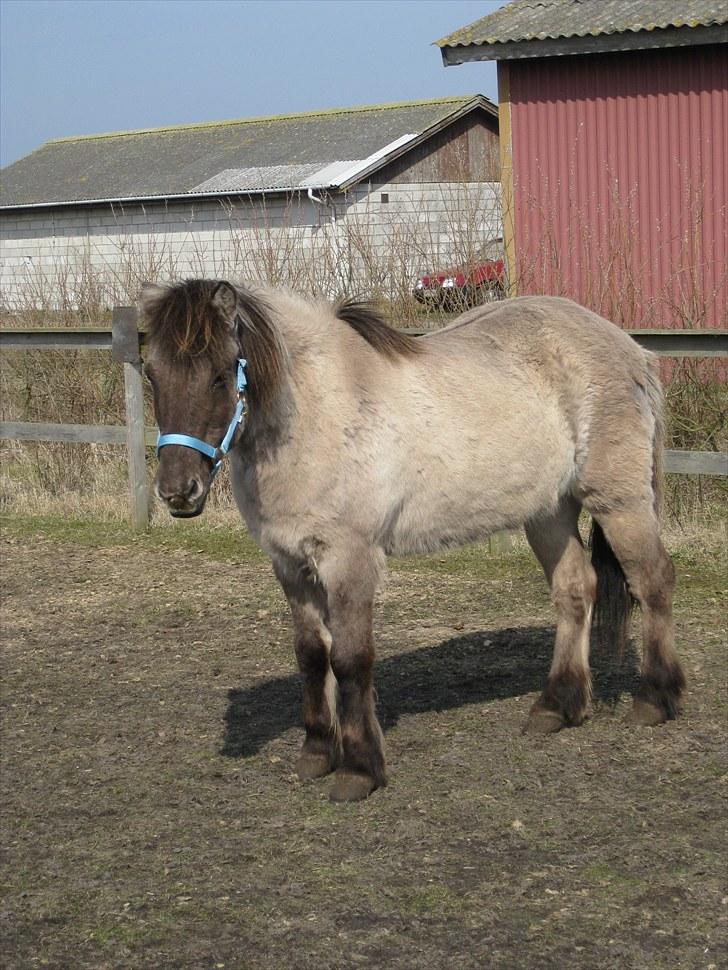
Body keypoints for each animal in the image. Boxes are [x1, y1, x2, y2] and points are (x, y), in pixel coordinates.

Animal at [141, 280, 684, 800]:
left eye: (219, 374)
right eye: (151, 374)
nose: (178, 490)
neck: (315, 411)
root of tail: (631, 350)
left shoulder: (349, 559)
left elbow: (350, 659)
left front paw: (359, 770)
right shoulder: (290, 563)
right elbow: (311, 654)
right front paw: (317, 753)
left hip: (619, 500)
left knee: (653, 581)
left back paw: (656, 698)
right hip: (549, 511)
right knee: (575, 590)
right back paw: (557, 706)